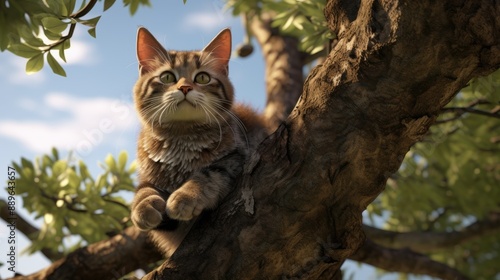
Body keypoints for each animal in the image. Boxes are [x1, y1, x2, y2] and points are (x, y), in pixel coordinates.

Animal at [131, 27, 268, 258]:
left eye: (202, 78)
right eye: (167, 77)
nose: (185, 87)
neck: (181, 137)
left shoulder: (238, 158)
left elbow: (207, 174)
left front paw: (186, 196)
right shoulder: (148, 177)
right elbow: (143, 189)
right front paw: (143, 206)